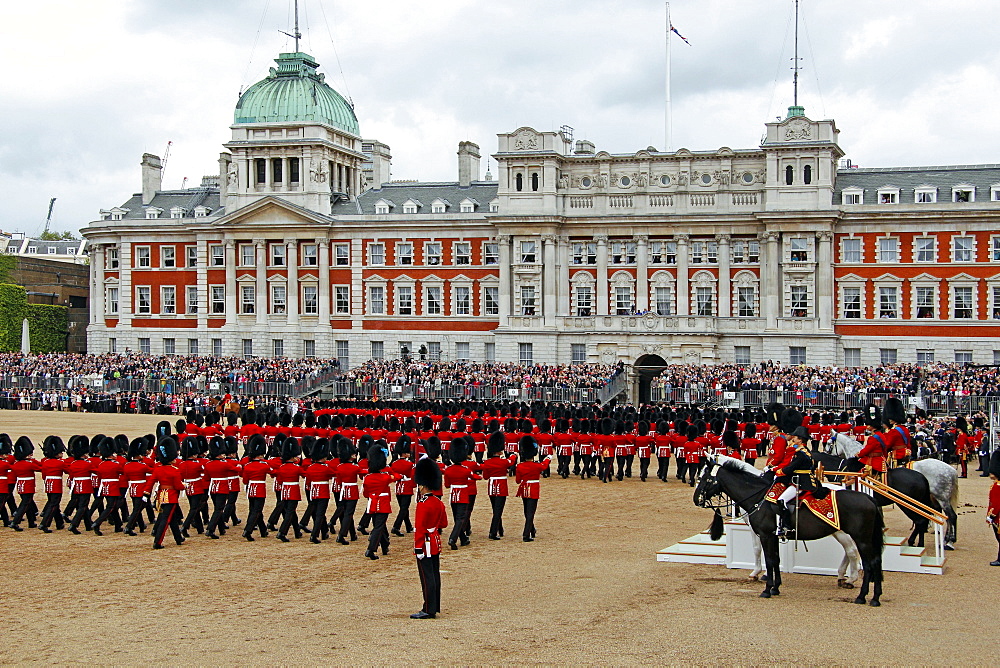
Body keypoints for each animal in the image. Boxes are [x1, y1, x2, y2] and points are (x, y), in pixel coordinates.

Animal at [696, 460, 884, 604]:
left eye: (705, 478)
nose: (696, 499)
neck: (758, 497)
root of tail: (868, 497)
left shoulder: (765, 535)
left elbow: (769, 560)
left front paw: (766, 589)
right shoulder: (773, 536)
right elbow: (775, 560)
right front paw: (775, 588)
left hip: (860, 538)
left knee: (866, 561)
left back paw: (861, 595)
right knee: (870, 560)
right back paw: (873, 596)